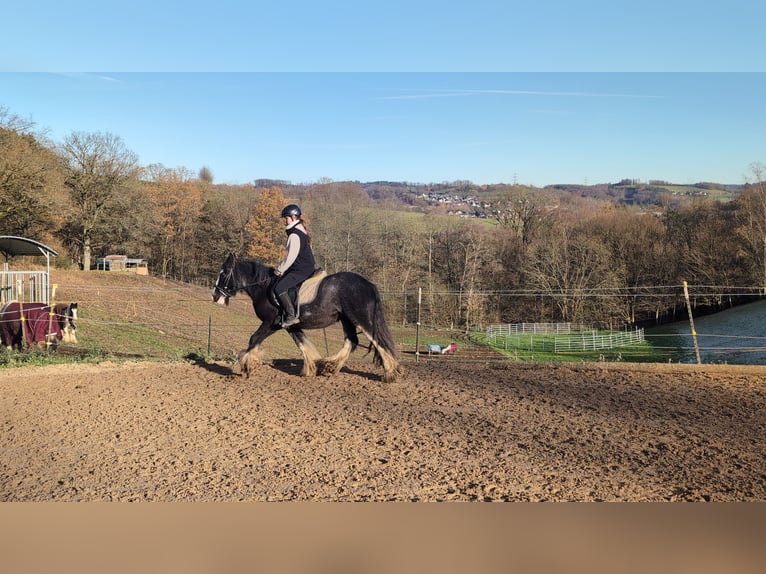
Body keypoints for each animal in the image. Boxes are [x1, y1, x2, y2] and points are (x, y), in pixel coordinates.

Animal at [212, 253, 403, 383]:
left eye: (223, 273)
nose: (215, 295)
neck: (263, 286)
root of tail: (369, 284)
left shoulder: (271, 323)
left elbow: (253, 339)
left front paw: (246, 366)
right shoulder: (291, 326)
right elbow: (303, 344)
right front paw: (311, 368)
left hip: (362, 319)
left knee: (378, 341)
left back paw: (391, 373)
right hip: (347, 320)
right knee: (352, 341)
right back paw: (330, 366)